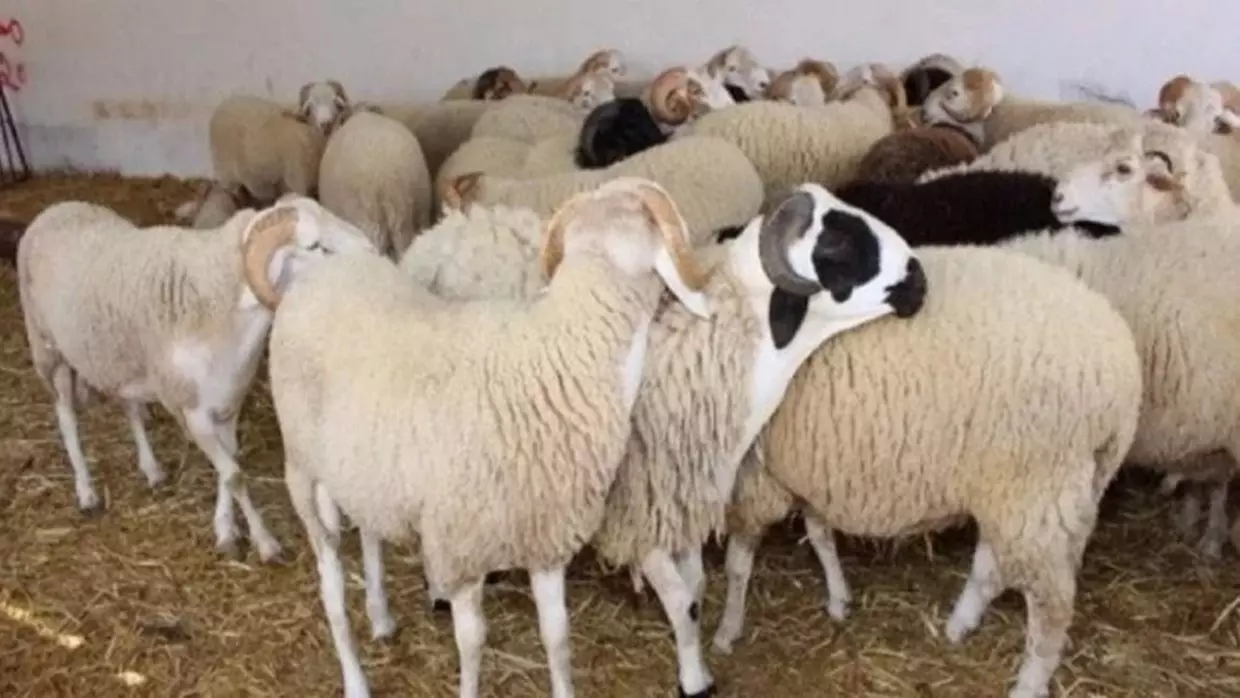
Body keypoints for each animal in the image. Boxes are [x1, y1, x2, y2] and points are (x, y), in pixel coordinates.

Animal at [15, 196, 376, 562]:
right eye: (315, 246)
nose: (373, 252)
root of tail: (57, 208)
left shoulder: (228, 405)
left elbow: (229, 468)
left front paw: (226, 530)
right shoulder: (192, 412)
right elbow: (234, 475)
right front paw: (265, 542)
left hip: (121, 360)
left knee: (129, 407)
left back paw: (152, 469)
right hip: (48, 350)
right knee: (67, 419)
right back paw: (86, 491)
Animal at [258, 176, 717, 698]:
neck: (561, 360)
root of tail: (316, 278)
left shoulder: (546, 539)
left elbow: (557, 636)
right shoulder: (463, 547)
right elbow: (472, 642)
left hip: (361, 472)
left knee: (370, 536)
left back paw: (381, 617)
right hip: (301, 471)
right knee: (331, 584)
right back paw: (355, 677)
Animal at [713, 243, 1143, 698]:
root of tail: (1125, 371)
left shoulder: (753, 481)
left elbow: (738, 564)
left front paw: (727, 630)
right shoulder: (806, 472)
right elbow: (819, 534)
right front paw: (838, 599)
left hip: (1037, 487)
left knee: (1052, 604)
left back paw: (1027, 682)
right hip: (1026, 490)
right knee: (993, 565)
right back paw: (959, 624)